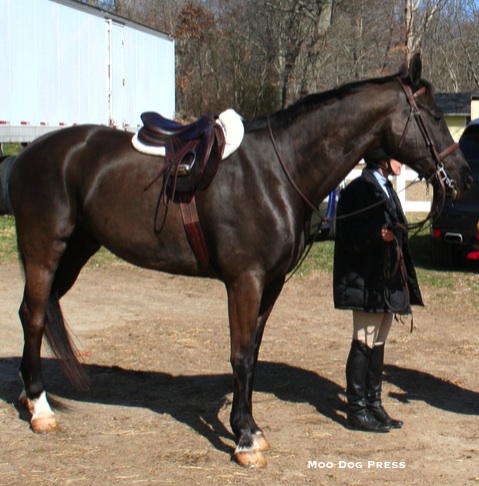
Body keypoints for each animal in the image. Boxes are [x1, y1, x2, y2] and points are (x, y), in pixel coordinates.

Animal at [6, 54, 472, 468]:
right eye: (432, 116)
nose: (464, 176)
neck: (278, 172)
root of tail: (27, 154)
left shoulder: (271, 283)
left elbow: (253, 351)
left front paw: (248, 428)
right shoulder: (244, 280)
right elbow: (241, 354)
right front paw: (245, 439)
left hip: (76, 251)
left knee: (35, 312)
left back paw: (28, 396)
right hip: (45, 251)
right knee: (34, 315)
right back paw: (41, 409)